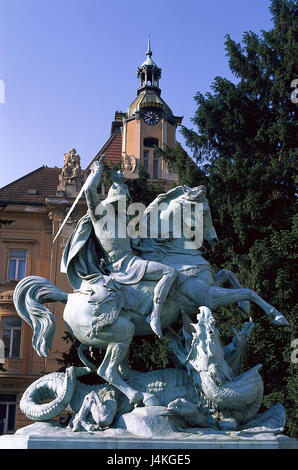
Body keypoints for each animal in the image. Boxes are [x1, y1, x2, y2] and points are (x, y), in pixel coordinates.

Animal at [14, 187, 288, 408]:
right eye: (205, 212)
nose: (212, 240)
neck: (173, 253)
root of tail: (68, 297)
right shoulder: (207, 297)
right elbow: (248, 290)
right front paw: (278, 317)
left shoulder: (209, 288)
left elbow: (229, 275)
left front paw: (245, 308)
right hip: (121, 334)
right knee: (107, 370)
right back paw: (143, 396)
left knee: (118, 370)